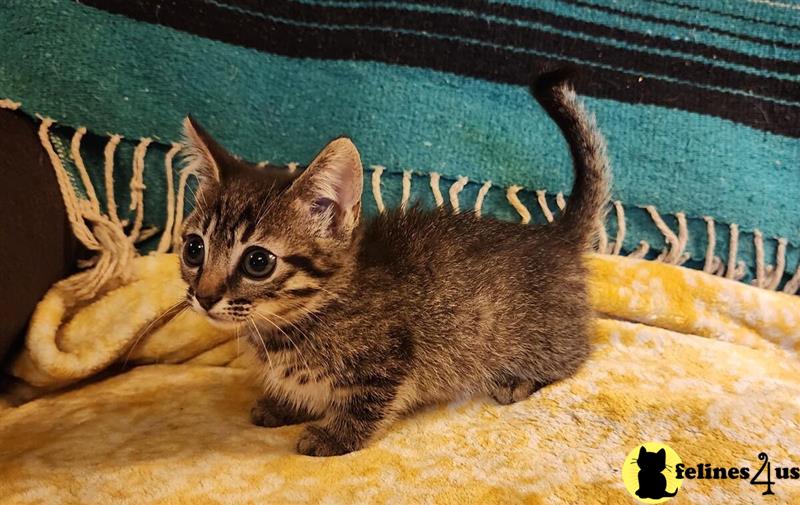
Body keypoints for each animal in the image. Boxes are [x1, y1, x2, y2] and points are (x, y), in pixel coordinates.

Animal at [180, 69, 608, 458]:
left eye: (258, 262)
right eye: (194, 249)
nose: (204, 296)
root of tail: (555, 235)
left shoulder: (389, 359)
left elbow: (365, 403)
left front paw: (335, 436)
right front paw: (285, 404)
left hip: (542, 340)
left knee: (574, 357)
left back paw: (519, 380)